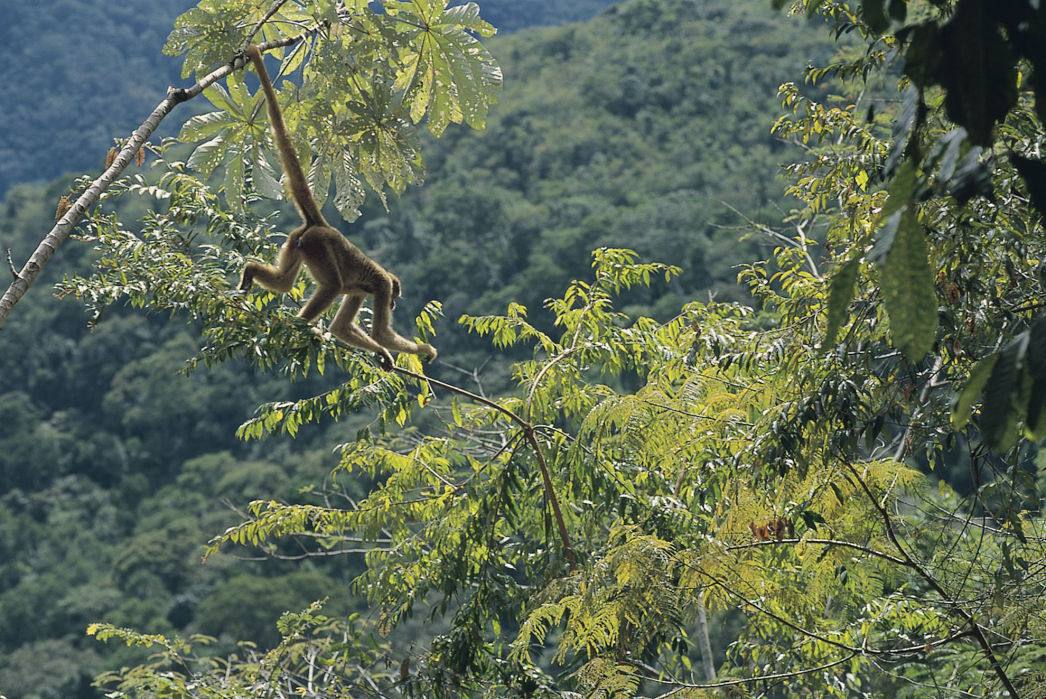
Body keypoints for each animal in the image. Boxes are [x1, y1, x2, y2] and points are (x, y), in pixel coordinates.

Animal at [238, 44, 437, 370]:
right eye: (394, 295)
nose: (395, 303)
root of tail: (322, 225)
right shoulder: (381, 284)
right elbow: (380, 333)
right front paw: (419, 350)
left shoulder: (361, 291)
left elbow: (341, 327)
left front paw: (383, 355)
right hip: (318, 246)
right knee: (331, 286)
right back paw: (300, 326)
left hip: (299, 242)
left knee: (284, 283)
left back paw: (251, 272)